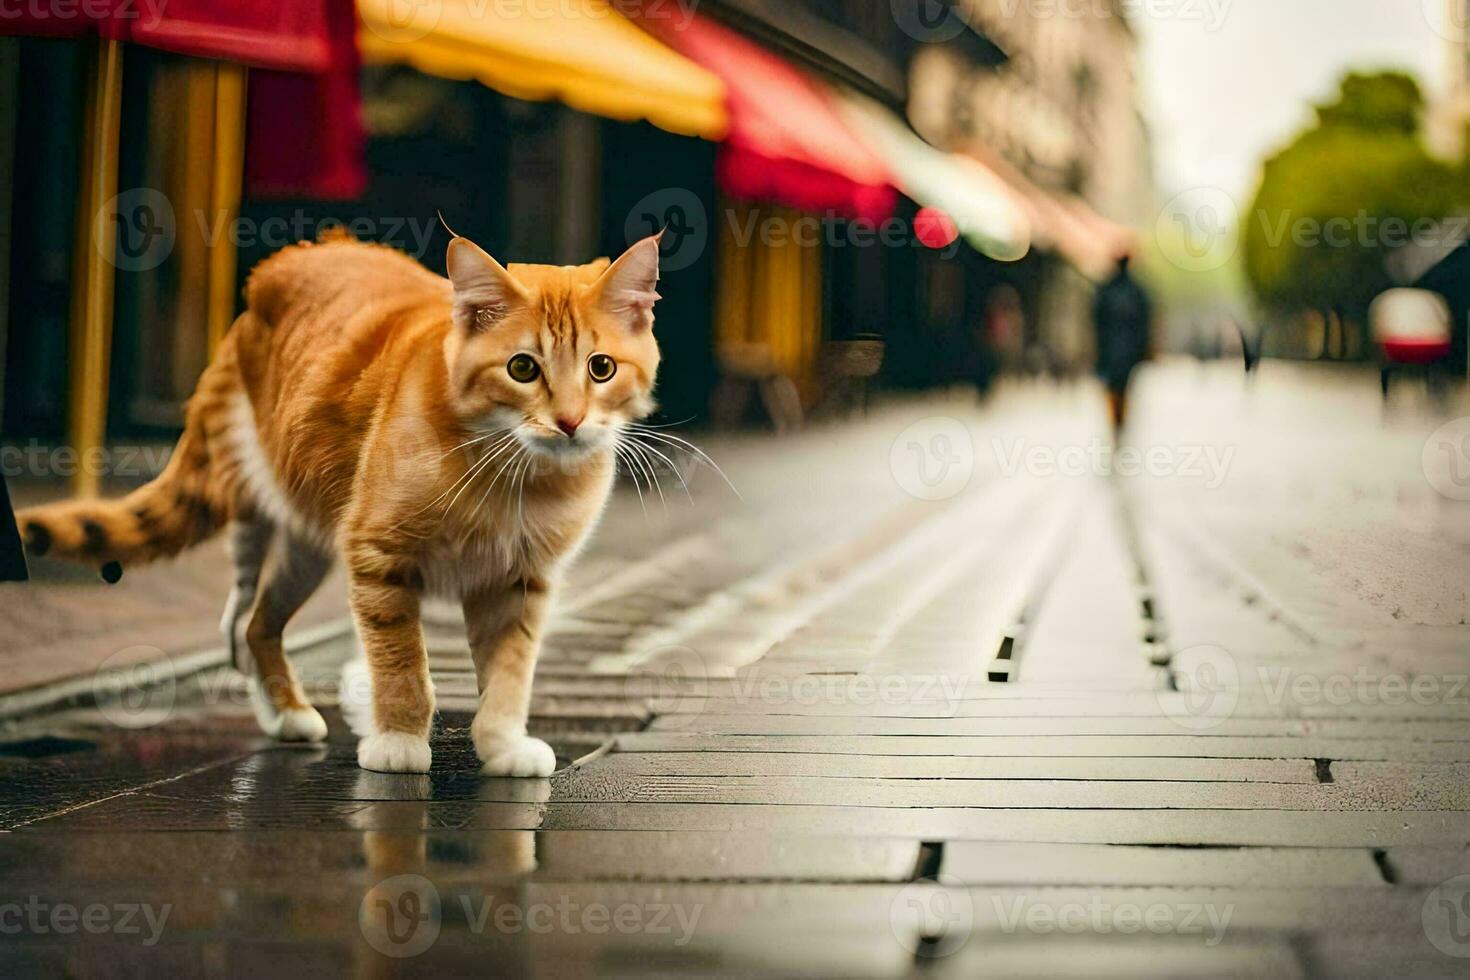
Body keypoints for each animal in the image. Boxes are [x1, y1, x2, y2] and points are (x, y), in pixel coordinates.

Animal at [20, 230, 664, 775]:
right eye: (523, 368)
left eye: (601, 368)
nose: (570, 422)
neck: (517, 476)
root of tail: (272, 274)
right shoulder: (379, 560)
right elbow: (402, 666)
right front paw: (399, 741)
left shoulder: (519, 583)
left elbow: (510, 673)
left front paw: (503, 744)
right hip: (263, 508)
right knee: (242, 612)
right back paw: (286, 710)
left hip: (307, 546)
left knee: (253, 624)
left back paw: (282, 711)